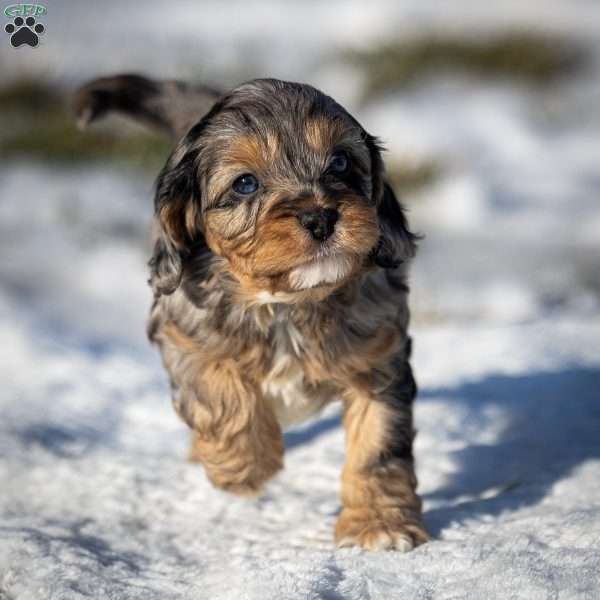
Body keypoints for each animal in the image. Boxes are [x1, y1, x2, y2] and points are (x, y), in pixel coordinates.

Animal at [75, 72, 428, 552]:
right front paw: (244, 468)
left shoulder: (380, 356)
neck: (285, 304)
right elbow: (223, 394)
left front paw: (380, 524)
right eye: (245, 184)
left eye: (339, 163)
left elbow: (378, 444)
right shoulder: (183, 332)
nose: (321, 218)